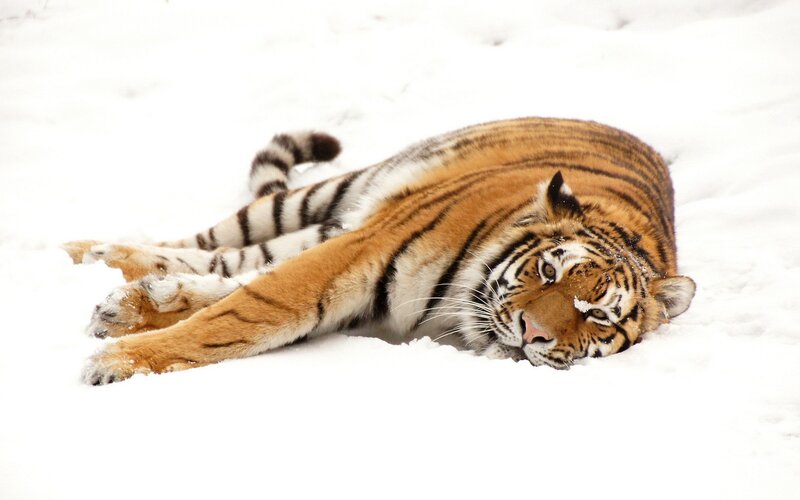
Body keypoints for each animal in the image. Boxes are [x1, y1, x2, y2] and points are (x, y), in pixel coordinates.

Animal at [64, 117, 696, 385]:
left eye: (597, 317)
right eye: (547, 271)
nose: (532, 334)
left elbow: (244, 303)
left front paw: (130, 336)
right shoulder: (359, 250)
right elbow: (247, 312)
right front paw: (117, 362)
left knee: (233, 265)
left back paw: (133, 301)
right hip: (330, 196)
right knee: (216, 243)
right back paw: (86, 252)